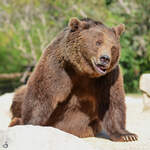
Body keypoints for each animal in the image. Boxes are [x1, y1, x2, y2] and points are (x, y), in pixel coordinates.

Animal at [9, 17, 138, 142]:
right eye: (98, 42)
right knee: (19, 95)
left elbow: (111, 102)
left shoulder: (108, 77)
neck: (83, 70)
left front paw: (127, 135)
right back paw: (15, 121)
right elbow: (42, 92)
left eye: (113, 47)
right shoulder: (58, 65)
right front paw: (29, 124)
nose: (105, 58)